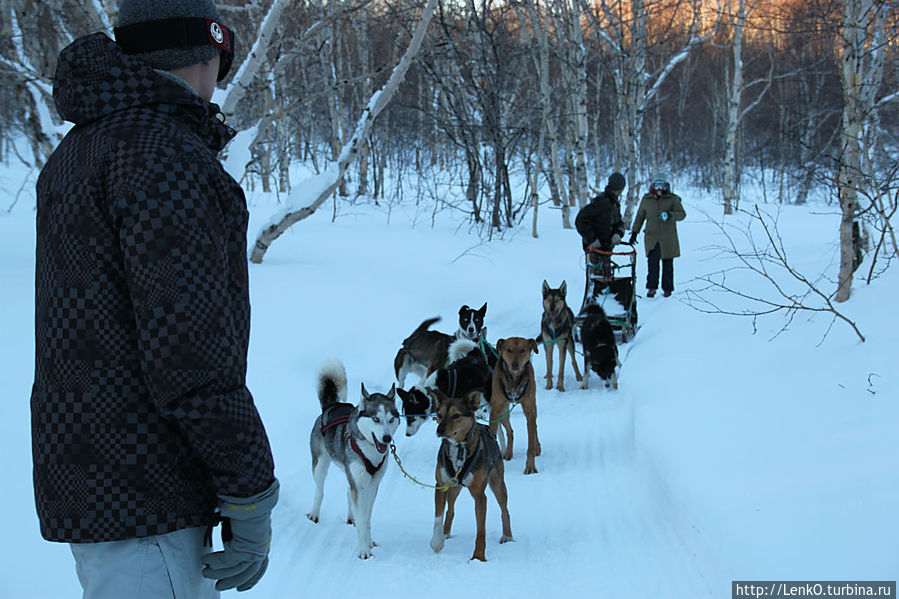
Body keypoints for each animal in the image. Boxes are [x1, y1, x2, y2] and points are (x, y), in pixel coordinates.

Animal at [308, 364, 400, 560]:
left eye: (390, 419)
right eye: (376, 419)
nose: (387, 438)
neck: (370, 451)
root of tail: (331, 405)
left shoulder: (372, 485)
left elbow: (366, 517)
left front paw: (369, 541)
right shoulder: (359, 484)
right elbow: (362, 518)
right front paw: (364, 550)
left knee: (348, 492)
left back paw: (351, 517)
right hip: (320, 465)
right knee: (320, 490)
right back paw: (314, 514)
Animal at [430, 390, 512, 564]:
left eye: (456, 415)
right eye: (439, 415)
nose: (440, 429)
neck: (459, 450)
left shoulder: (480, 495)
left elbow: (481, 530)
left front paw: (478, 556)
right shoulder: (440, 485)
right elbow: (438, 517)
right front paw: (437, 542)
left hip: (497, 483)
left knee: (504, 509)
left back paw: (508, 536)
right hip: (454, 487)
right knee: (450, 509)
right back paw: (446, 533)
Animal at [492, 338, 540, 474]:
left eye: (522, 350)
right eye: (509, 350)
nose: (515, 364)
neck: (514, 380)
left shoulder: (529, 410)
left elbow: (530, 443)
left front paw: (530, 466)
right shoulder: (495, 410)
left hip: (532, 407)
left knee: (535, 426)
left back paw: (537, 447)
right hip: (503, 412)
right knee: (510, 431)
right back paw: (508, 453)